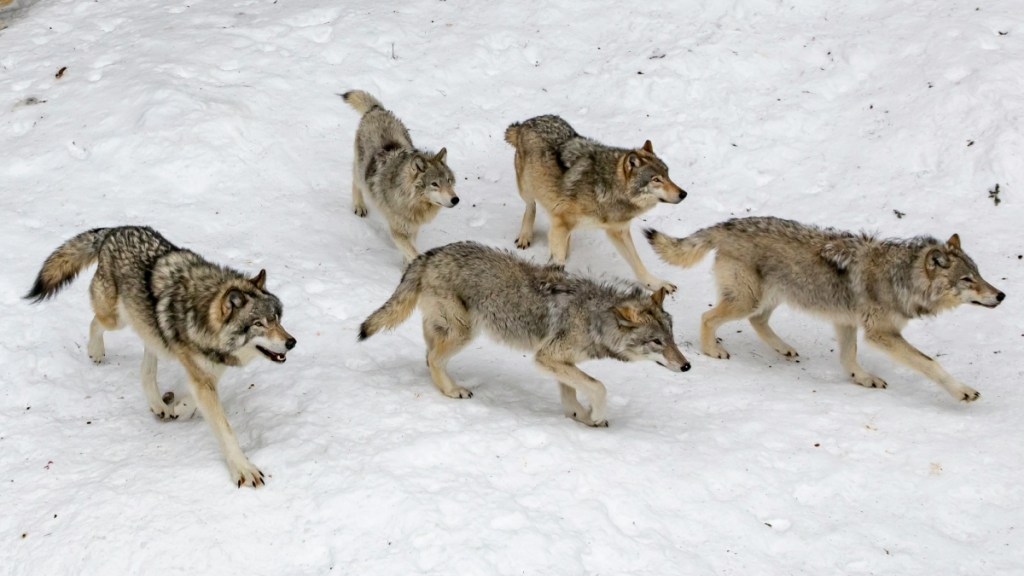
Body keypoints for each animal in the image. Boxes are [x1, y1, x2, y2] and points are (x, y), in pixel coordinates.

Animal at [25, 226, 296, 485]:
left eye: (277, 319)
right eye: (259, 324)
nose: (291, 342)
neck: (202, 317)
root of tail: (113, 231)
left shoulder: (208, 371)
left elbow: (193, 399)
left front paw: (181, 408)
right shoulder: (202, 376)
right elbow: (225, 429)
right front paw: (244, 470)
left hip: (150, 330)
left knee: (146, 367)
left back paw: (158, 404)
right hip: (117, 319)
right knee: (96, 323)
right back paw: (96, 352)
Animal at [342, 89, 458, 262]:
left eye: (449, 181)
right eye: (435, 184)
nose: (455, 200)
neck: (411, 201)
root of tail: (377, 110)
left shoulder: (413, 229)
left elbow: (410, 252)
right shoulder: (398, 232)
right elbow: (414, 253)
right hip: (361, 170)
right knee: (356, 181)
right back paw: (359, 206)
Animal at [358, 239, 688, 424]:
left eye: (672, 338)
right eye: (656, 342)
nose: (687, 366)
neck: (594, 317)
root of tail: (429, 254)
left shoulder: (559, 362)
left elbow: (572, 393)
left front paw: (580, 417)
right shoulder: (547, 357)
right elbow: (599, 387)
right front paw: (596, 415)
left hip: (449, 329)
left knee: (428, 355)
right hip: (464, 332)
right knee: (432, 359)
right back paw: (453, 391)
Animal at [505, 114, 688, 291]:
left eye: (668, 175)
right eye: (656, 180)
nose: (683, 194)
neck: (607, 188)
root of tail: (526, 122)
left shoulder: (618, 231)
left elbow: (638, 264)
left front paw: (657, 284)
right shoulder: (561, 222)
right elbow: (558, 260)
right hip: (527, 188)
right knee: (531, 206)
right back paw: (525, 236)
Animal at [643, 215, 1003, 399]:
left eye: (980, 275)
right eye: (968, 280)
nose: (1001, 296)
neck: (901, 278)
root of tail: (727, 224)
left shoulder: (846, 322)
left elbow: (848, 357)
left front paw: (862, 379)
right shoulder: (881, 334)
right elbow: (930, 364)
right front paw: (963, 391)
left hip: (772, 297)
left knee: (758, 322)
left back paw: (784, 349)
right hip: (748, 300)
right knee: (708, 317)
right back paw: (712, 350)